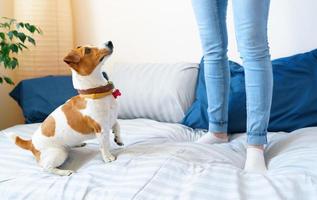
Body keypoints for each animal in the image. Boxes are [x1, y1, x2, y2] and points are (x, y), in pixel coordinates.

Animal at [11, 41, 122, 176]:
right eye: (88, 50)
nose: (109, 42)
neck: (94, 93)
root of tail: (31, 143)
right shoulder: (101, 129)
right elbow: (104, 145)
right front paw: (108, 157)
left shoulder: (111, 119)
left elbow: (117, 126)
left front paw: (118, 139)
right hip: (59, 153)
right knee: (46, 168)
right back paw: (64, 172)